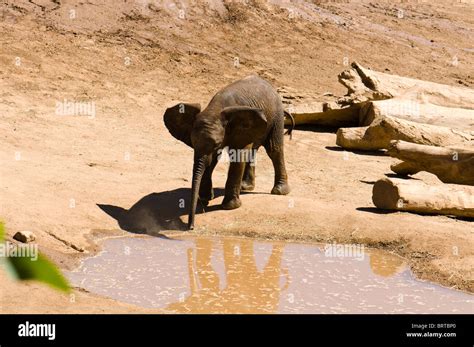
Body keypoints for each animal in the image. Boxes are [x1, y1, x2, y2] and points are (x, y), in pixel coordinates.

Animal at [165, 75, 290, 230]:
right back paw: (245, 187)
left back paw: (279, 191)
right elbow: (212, 160)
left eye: (217, 144)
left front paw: (230, 207)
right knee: (253, 148)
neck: (215, 108)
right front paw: (205, 199)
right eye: (192, 143)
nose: (191, 227)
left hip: (277, 114)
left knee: (274, 149)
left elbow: (236, 155)